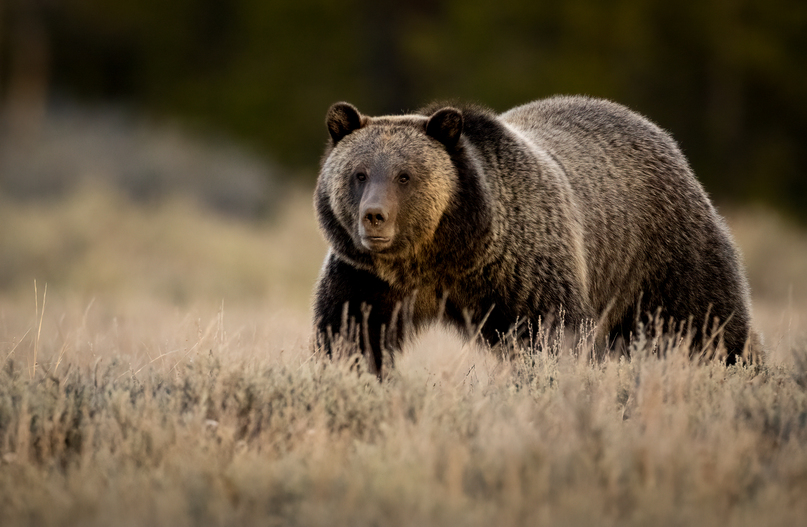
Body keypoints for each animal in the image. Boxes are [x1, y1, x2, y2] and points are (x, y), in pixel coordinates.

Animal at [314, 96, 756, 376]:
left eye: (404, 176)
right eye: (359, 173)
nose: (374, 216)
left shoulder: (522, 267)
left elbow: (549, 333)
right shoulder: (369, 279)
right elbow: (350, 333)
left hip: (662, 250)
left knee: (706, 321)